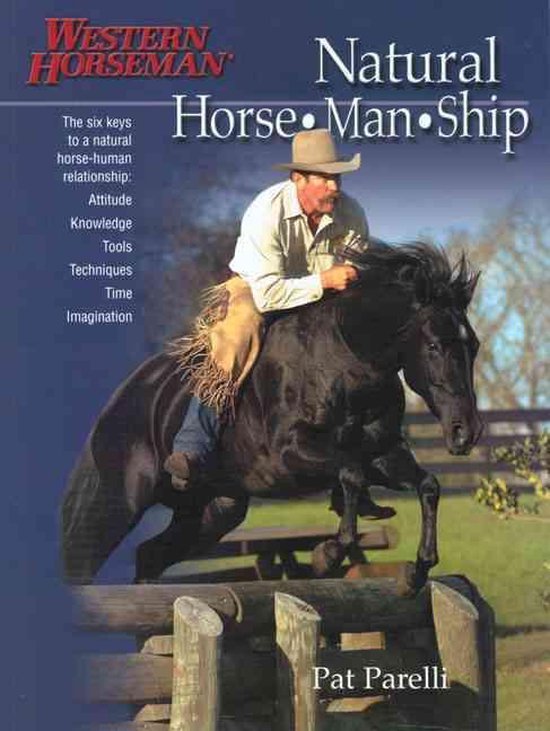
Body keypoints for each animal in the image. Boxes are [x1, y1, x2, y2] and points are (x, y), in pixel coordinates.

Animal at [61, 241, 483, 592]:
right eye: (434, 346)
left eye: (474, 346)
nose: (466, 432)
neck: (348, 362)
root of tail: (121, 397)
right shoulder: (290, 455)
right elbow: (350, 475)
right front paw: (326, 556)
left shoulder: (382, 454)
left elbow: (427, 485)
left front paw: (417, 571)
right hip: (118, 502)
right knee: (82, 561)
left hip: (214, 510)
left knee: (150, 555)